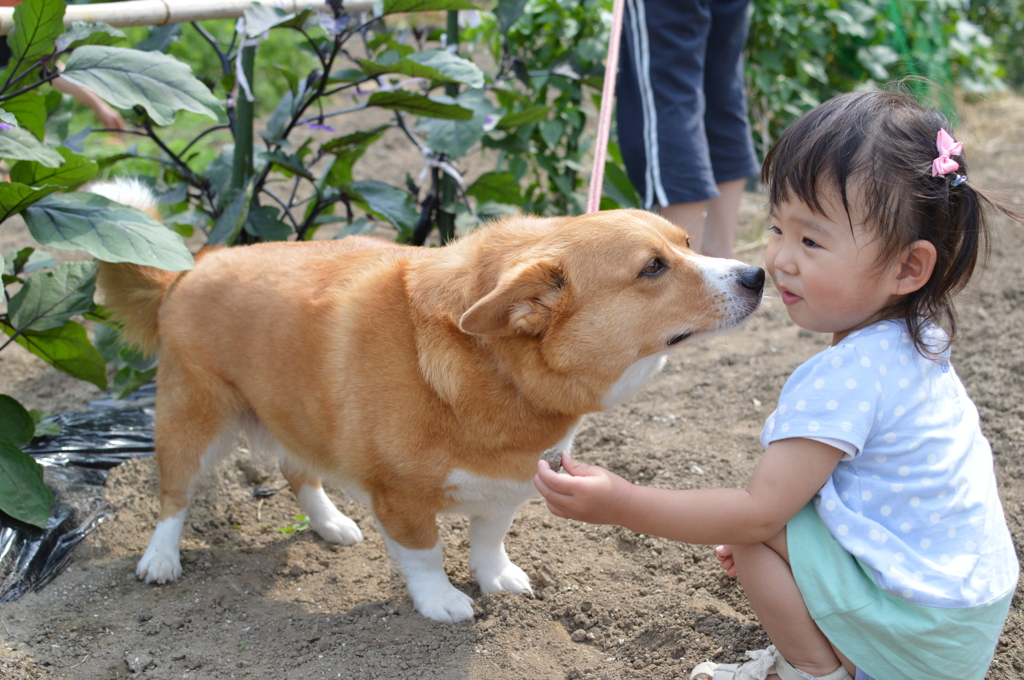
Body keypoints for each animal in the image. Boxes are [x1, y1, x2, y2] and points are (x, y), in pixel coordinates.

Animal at [92, 179, 765, 622]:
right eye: (653, 268)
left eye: (688, 241)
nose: (756, 275)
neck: (497, 367)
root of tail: (189, 267)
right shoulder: (401, 497)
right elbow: (426, 554)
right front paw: (443, 602)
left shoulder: (508, 482)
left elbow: (490, 538)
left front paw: (498, 579)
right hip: (192, 417)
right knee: (174, 494)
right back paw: (160, 560)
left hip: (298, 412)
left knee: (296, 470)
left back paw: (331, 524)